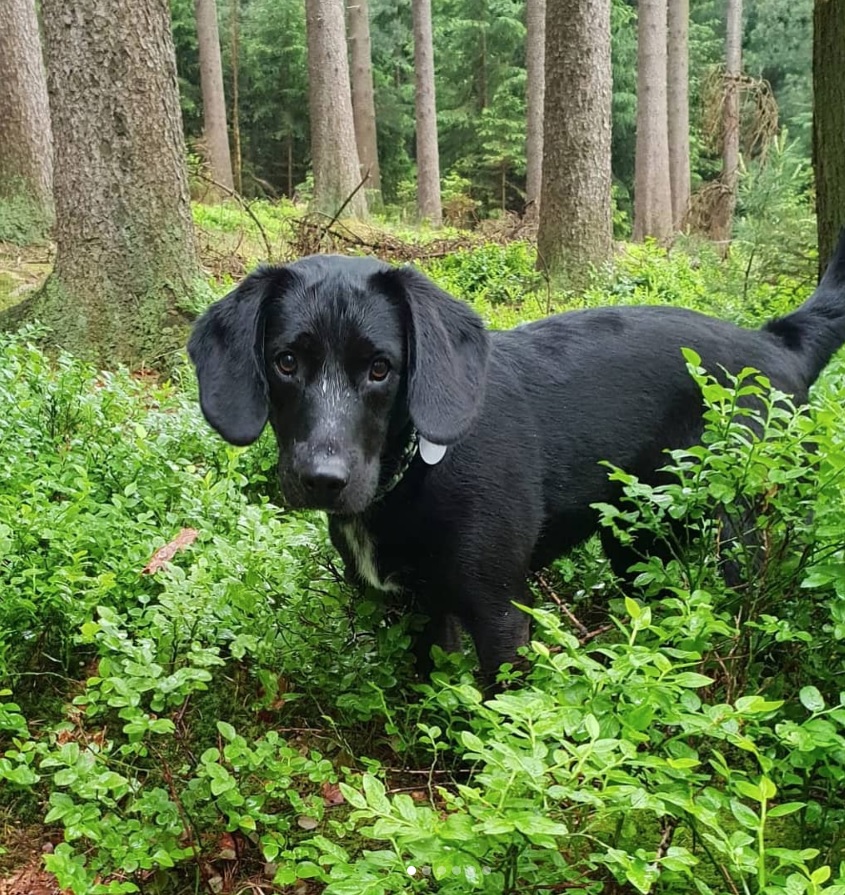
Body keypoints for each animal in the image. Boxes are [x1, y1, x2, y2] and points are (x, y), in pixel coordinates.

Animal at [190, 236, 844, 680]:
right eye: (285, 363)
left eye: (380, 369)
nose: (322, 479)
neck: (415, 471)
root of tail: (777, 344)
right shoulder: (417, 613)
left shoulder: (500, 611)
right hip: (634, 542)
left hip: (736, 539)